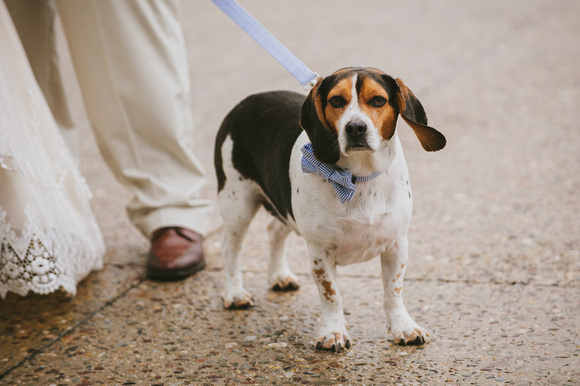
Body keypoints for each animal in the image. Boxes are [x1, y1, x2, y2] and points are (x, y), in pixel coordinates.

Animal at [215, 68, 446, 352]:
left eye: (378, 100)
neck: (357, 179)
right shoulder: (319, 252)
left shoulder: (397, 245)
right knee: (230, 248)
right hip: (237, 204)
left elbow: (393, 292)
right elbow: (331, 295)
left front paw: (403, 327)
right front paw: (333, 332)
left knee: (274, 232)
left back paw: (279, 275)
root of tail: (247, 101)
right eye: (336, 100)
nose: (355, 127)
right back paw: (234, 293)